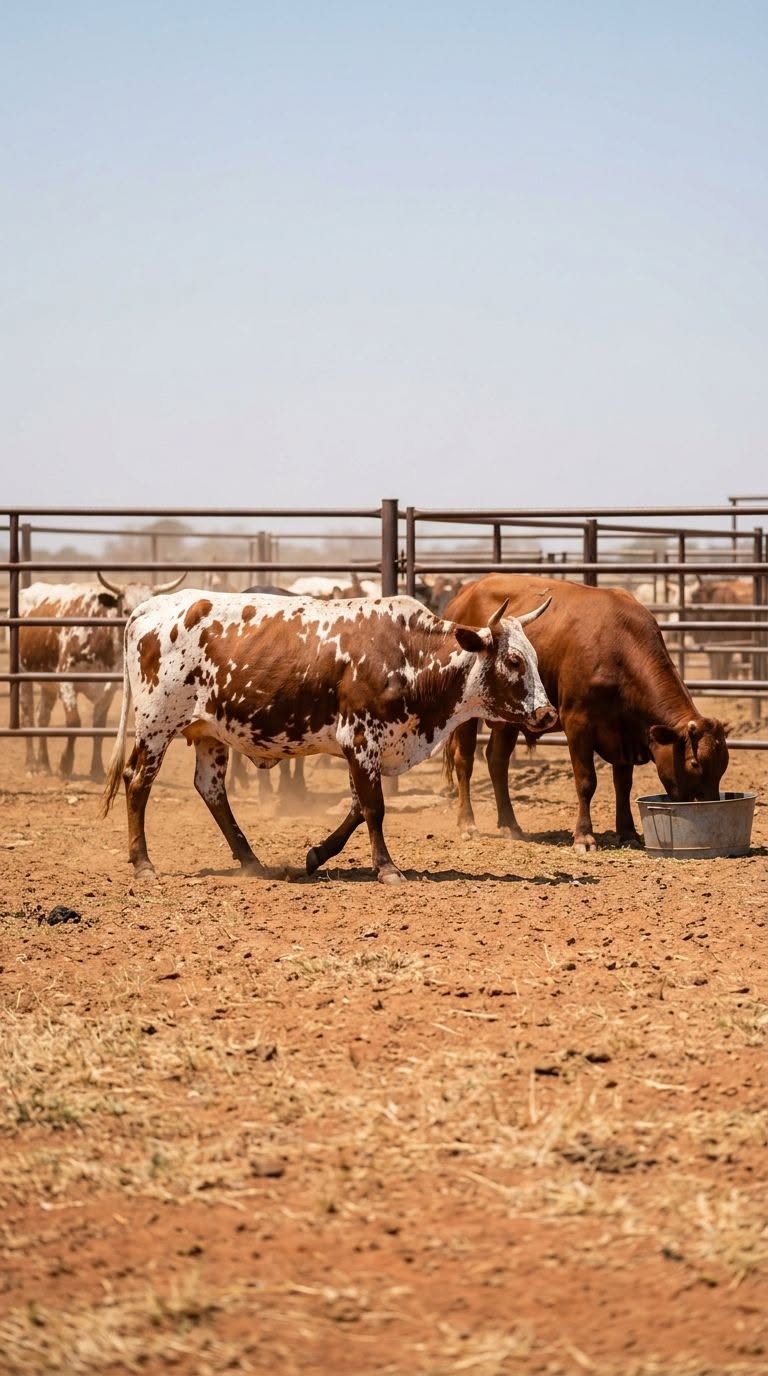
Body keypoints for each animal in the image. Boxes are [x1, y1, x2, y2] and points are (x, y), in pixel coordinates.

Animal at [20, 574, 185, 781]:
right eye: (126, 609)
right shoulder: (67, 682)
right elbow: (74, 722)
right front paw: (65, 764)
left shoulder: (108, 688)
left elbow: (98, 727)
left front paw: (96, 768)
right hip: (24, 675)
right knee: (28, 715)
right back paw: (32, 764)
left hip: (47, 685)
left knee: (42, 717)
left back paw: (44, 764)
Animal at [101, 590, 556, 882]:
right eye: (514, 661)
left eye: (534, 657)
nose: (547, 713)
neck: (408, 655)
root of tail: (147, 608)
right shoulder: (362, 739)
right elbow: (374, 808)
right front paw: (387, 868)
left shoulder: (365, 750)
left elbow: (357, 808)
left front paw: (316, 855)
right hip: (156, 725)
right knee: (137, 782)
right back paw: (143, 864)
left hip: (208, 732)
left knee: (211, 789)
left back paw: (251, 862)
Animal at [443, 575, 730, 853]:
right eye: (694, 763)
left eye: (722, 765)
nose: (708, 805)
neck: (619, 647)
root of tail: (464, 594)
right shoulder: (577, 724)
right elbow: (586, 781)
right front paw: (584, 837)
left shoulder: (623, 732)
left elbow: (623, 784)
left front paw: (628, 832)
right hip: (466, 712)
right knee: (464, 760)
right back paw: (467, 824)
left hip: (508, 719)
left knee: (497, 761)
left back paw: (510, 825)